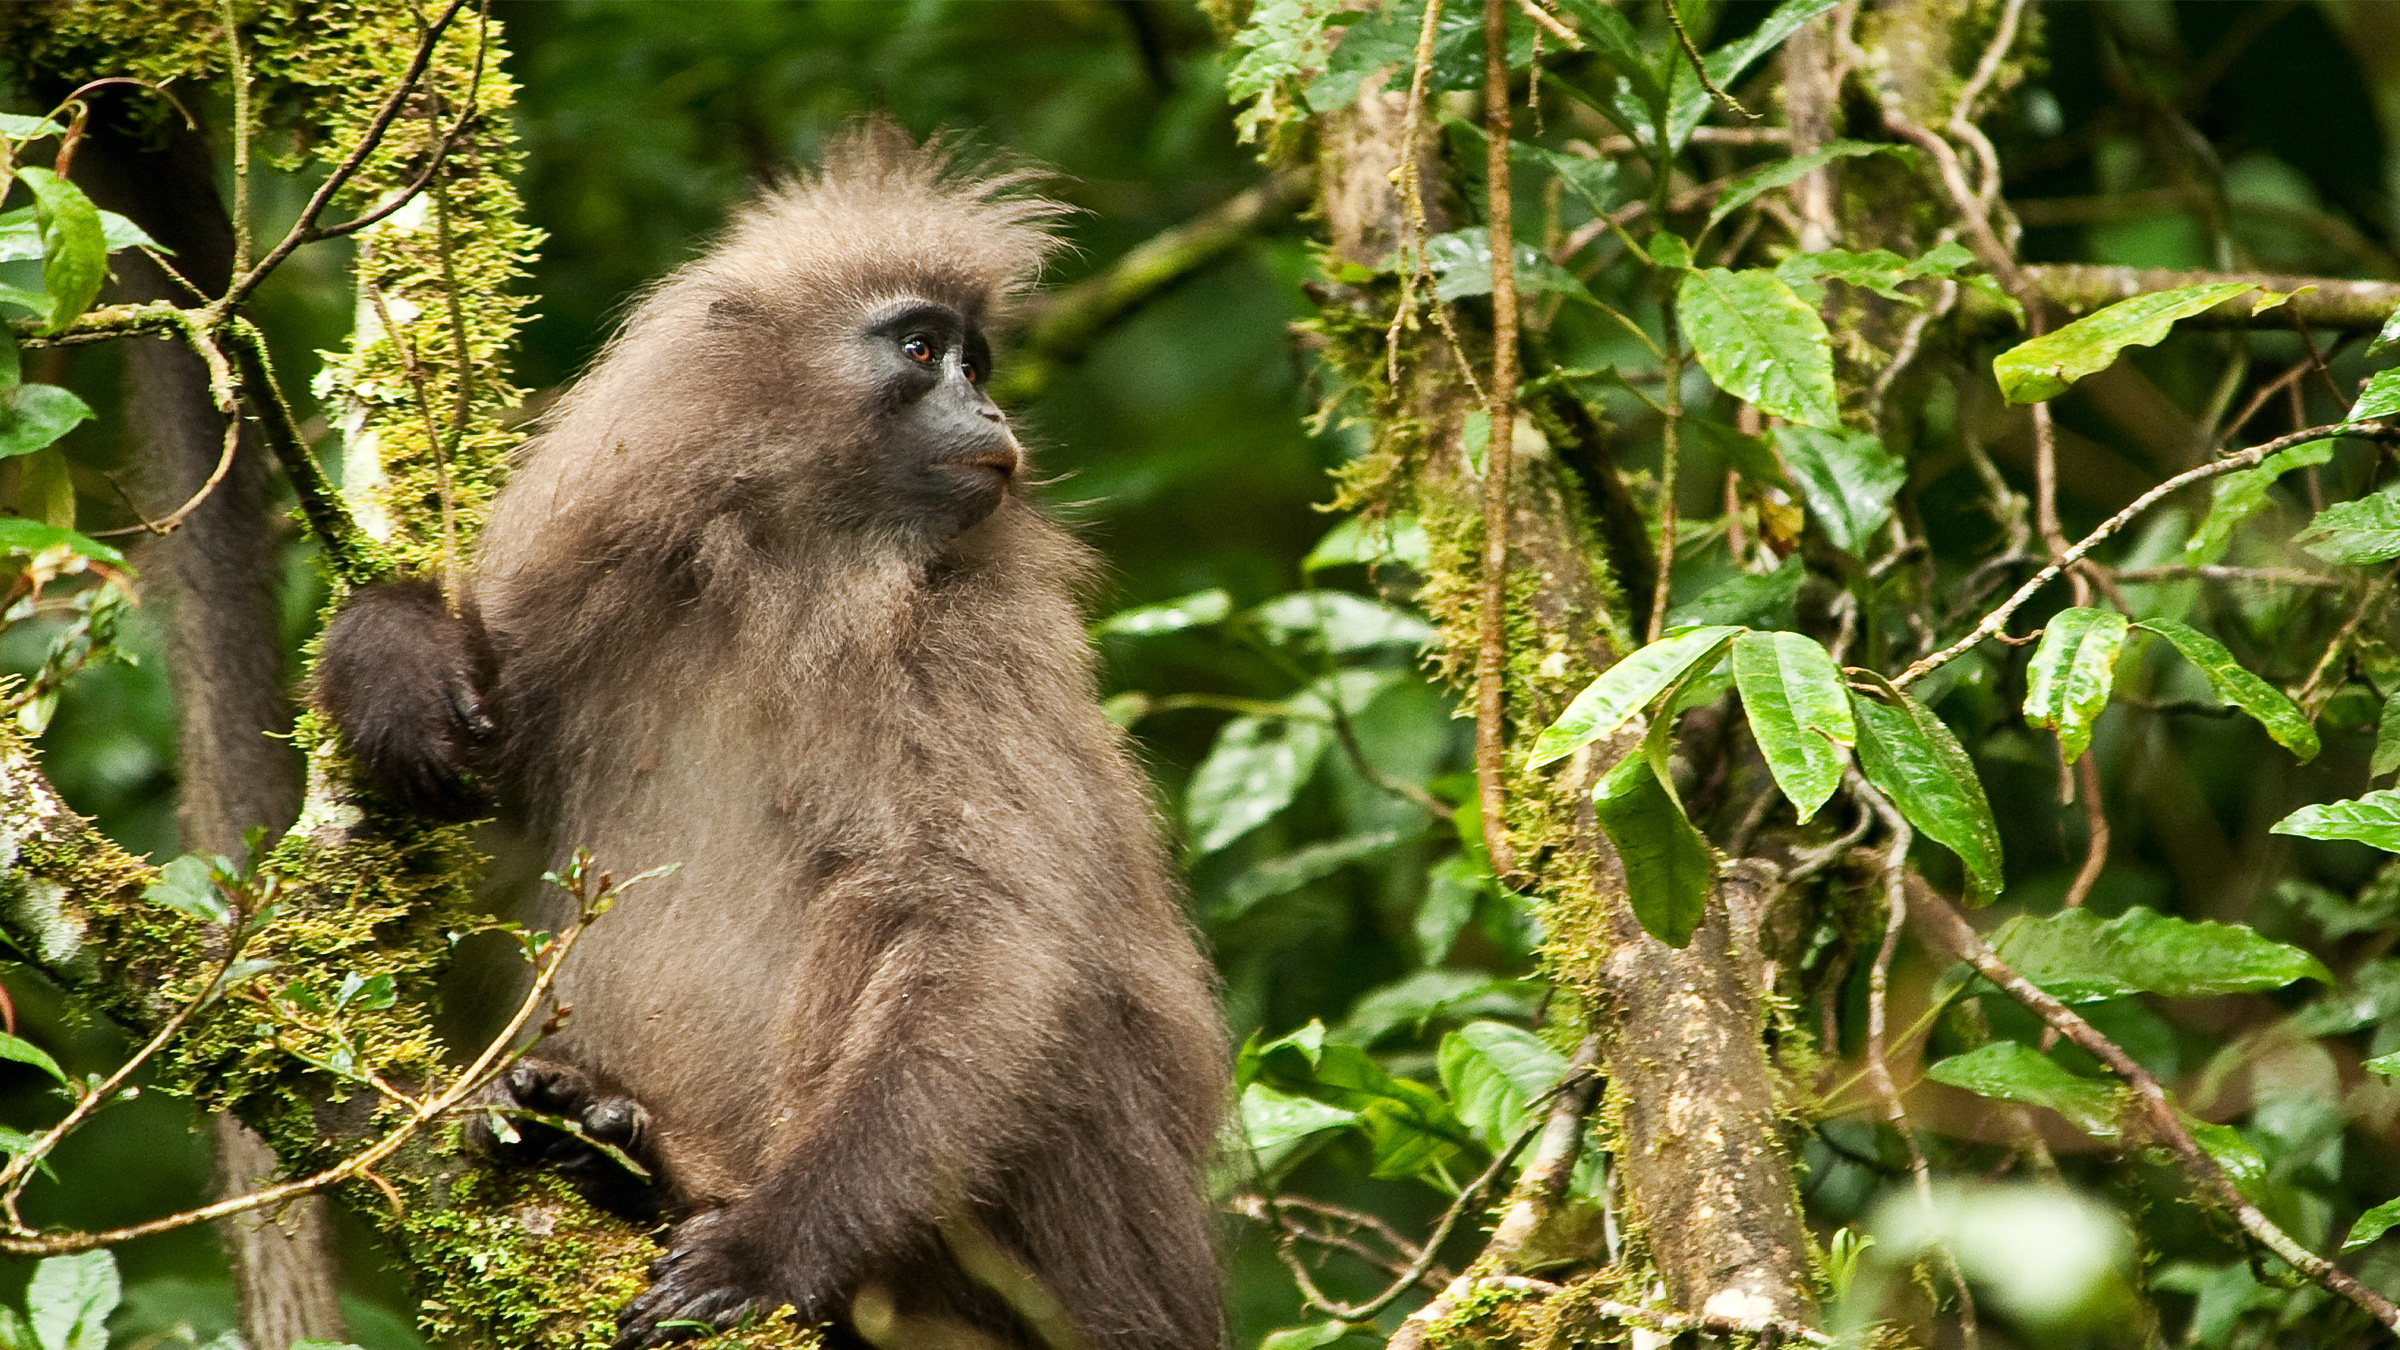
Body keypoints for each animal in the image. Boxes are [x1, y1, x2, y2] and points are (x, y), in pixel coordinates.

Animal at [315, 123, 1229, 1350]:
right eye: (926, 349)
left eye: (978, 366)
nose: (993, 419)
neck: (790, 570)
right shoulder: (615, 565)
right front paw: (391, 660)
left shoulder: (971, 633)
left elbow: (984, 930)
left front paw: (773, 1247)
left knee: (882, 908)